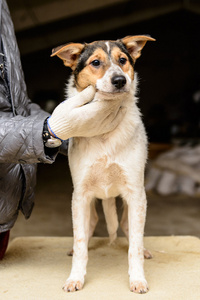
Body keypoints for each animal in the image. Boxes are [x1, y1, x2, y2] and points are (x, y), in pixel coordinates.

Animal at [51, 34, 155, 292]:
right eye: (95, 63)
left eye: (123, 60)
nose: (119, 80)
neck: (105, 132)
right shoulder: (80, 195)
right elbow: (80, 242)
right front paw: (75, 278)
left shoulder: (135, 193)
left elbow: (134, 246)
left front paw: (137, 279)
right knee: (91, 226)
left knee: (129, 229)